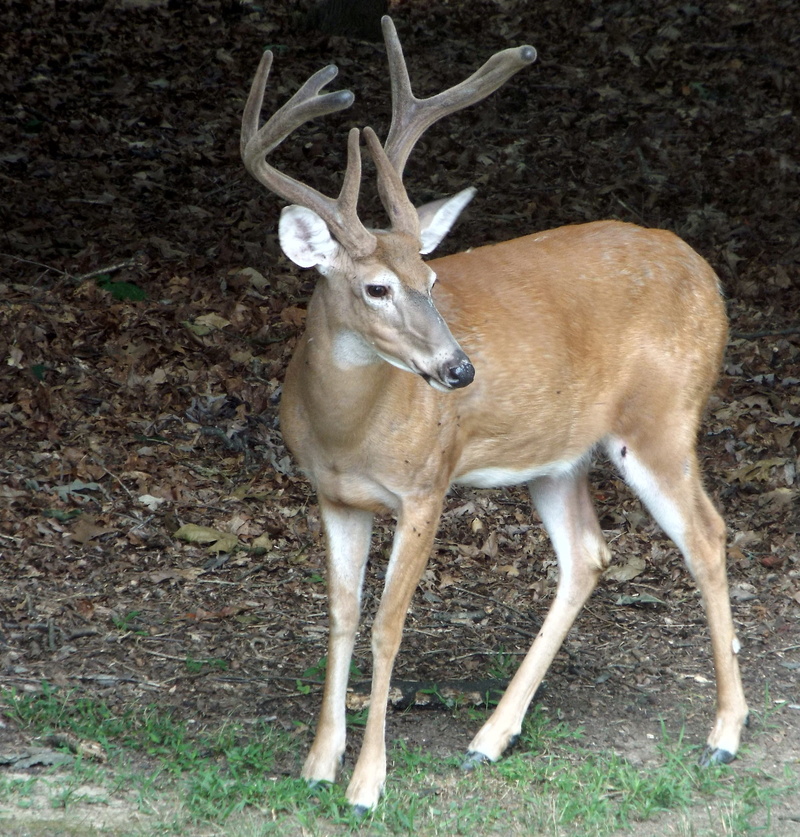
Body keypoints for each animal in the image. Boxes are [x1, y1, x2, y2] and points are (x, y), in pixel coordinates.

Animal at [240, 16, 749, 813]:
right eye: (378, 287)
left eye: (431, 277)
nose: (459, 370)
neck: (347, 431)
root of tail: (708, 275)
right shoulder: (332, 495)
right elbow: (340, 616)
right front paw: (319, 762)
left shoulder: (427, 485)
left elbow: (387, 626)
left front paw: (366, 782)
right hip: (559, 456)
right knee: (588, 554)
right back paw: (490, 737)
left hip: (663, 418)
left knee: (707, 533)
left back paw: (724, 733)